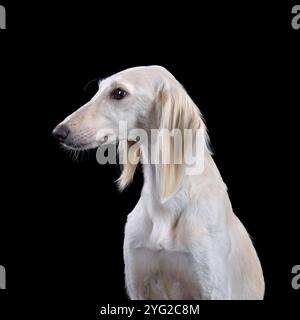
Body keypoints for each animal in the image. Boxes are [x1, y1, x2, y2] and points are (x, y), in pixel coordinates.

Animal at [52, 65, 264, 300]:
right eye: (98, 90)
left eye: (119, 93)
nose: (58, 132)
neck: (165, 200)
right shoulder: (138, 286)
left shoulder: (212, 289)